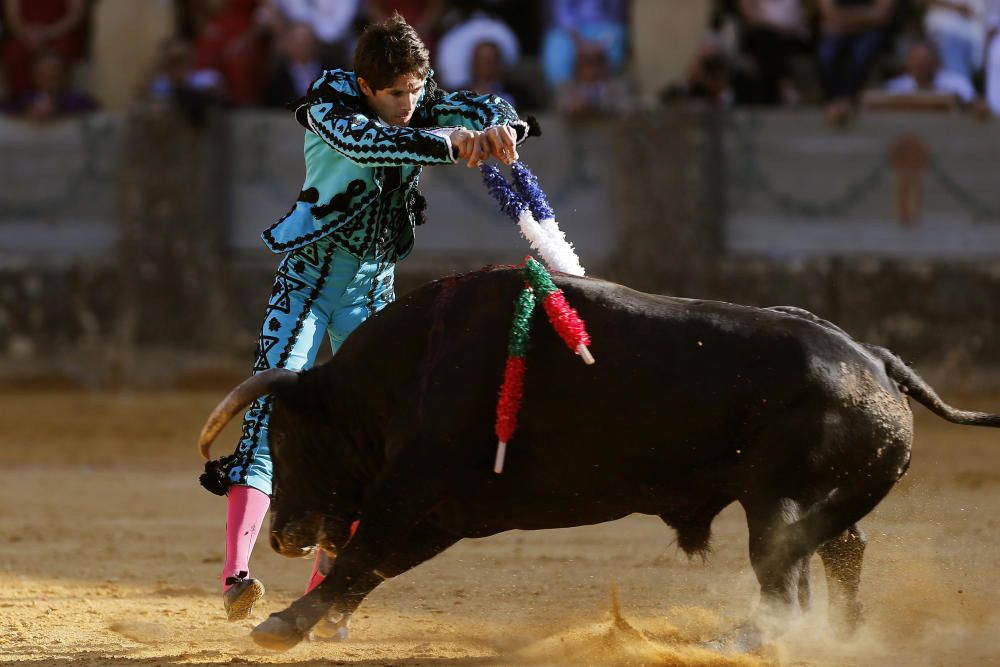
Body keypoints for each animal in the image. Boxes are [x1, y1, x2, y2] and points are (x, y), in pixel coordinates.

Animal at [197, 266, 1000, 652]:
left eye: (287, 438)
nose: (285, 535)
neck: (406, 370)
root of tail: (874, 360)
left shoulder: (416, 491)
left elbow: (363, 557)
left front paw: (284, 625)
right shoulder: (445, 513)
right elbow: (371, 566)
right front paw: (314, 619)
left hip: (777, 505)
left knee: (785, 581)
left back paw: (740, 640)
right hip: (815, 504)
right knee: (841, 555)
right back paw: (840, 638)